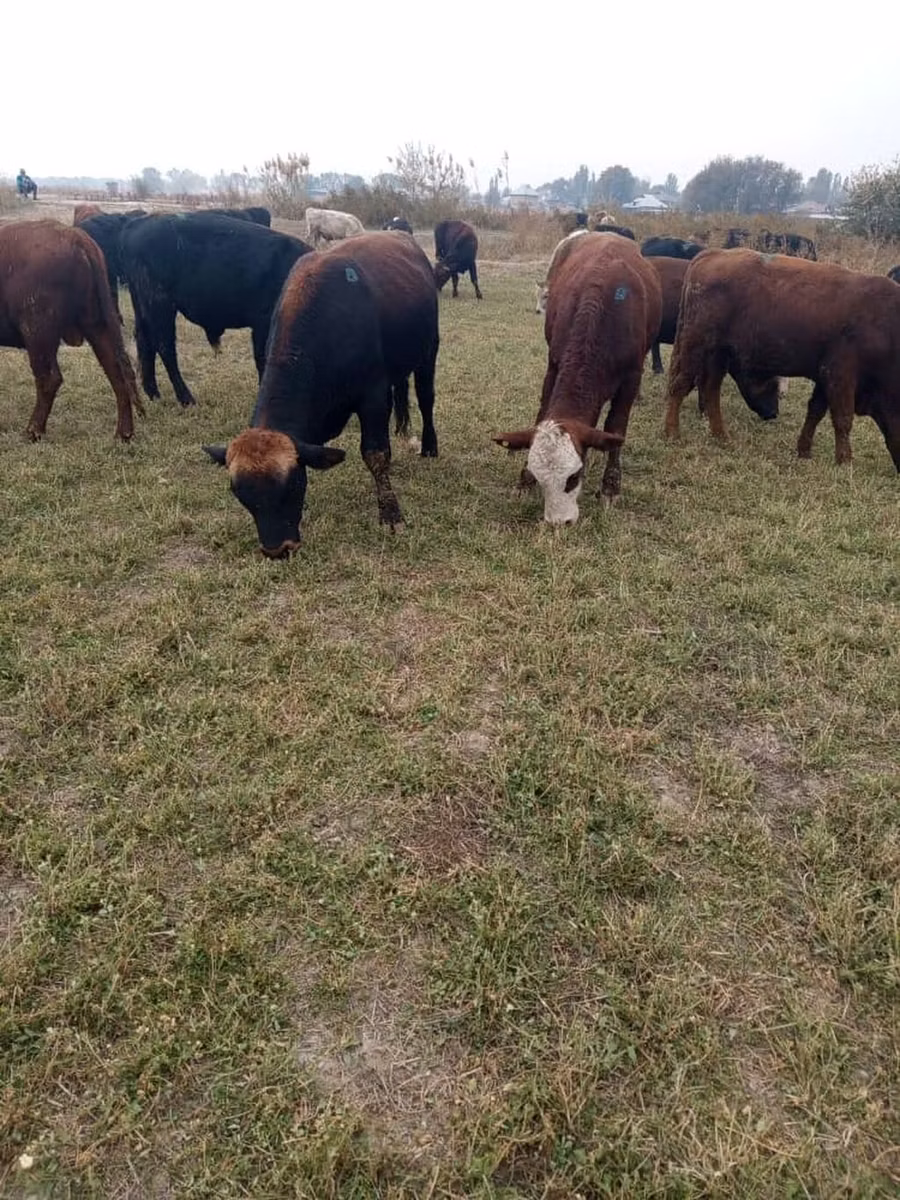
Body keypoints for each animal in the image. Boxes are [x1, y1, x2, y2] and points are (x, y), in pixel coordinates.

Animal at [0, 221, 143, 441]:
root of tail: (75, 237)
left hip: (37, 333)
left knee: (49, 378)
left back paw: (34, 430)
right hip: (97, 326)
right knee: (116, 372)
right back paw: (123, 433)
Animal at [121, 213, 313, 407]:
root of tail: (140, 222)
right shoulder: (263, 325)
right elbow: (263, 360)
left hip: (144, 306)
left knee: (145, 341)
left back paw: (153, 393)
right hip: (159, 304)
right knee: (164, 346)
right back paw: (186, 399)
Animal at [201, 232, 439, 558]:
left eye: (291, 485)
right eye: (241, 495)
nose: (277, 550)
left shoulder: (374, 397)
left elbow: (376, 454)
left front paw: (392, 516)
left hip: (429, 353)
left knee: (426, 399)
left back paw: (429, 445)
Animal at [494, 232, 662, 523]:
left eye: (574, 477)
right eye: (539, 477)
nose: (558, 522)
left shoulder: (631, 378)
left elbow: (616, 428)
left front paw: (610, 487)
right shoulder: (554, 364)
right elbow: (542, 412)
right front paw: (524, 481)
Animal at [664, 249, 900, 471]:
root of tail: (713, 254)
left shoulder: (824, 378)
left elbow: (815, 412)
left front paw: (804, 451)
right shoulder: (840, 377)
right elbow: (843, 419)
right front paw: (845, 461)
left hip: (719, 354)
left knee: (711, 391)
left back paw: (721, 436)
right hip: (695, 347)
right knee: (680, 385)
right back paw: (672, 433)